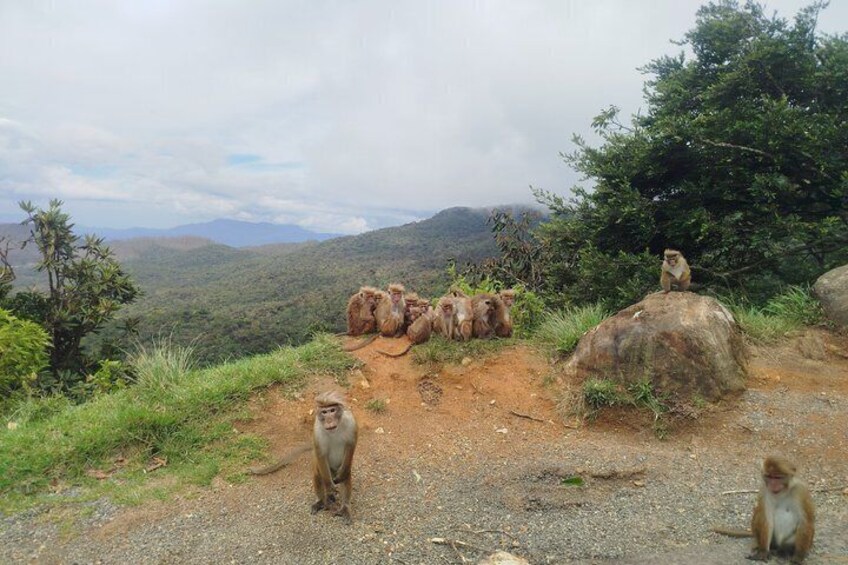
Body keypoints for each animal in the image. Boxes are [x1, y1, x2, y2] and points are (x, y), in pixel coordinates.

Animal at [311, 391, 358, 523]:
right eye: (324, 412)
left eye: (332, 410)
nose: (329, 420)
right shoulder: (317, 431)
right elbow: (321, 454)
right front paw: (329, 487)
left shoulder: (351, 423)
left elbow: (351, 445)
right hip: (327, 470)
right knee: (318, 474)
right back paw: (321, 501)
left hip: (339, 468)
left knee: (346, 476)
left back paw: (345, 507)